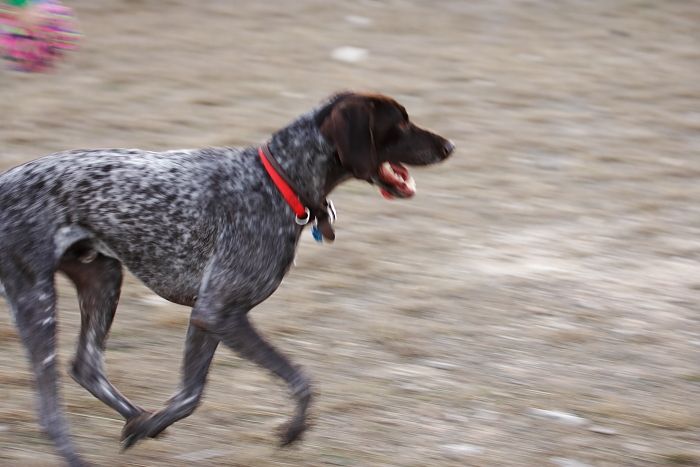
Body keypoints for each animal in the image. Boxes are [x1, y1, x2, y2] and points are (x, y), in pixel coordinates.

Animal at [0, 92, 454, 467]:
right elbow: (301, 381)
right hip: (37, 299)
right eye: (400, 123)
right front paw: (293, 430)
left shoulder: (208, 317)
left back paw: (136, 418)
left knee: (87, 365)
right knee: (50, 407)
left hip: (103, 278)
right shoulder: (219, 312)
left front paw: (148, 426)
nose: (449, 146)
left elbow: (190, 395)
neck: (278, 181)